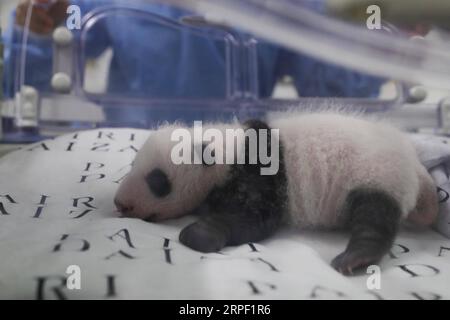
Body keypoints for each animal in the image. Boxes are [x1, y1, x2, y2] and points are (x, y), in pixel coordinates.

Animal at [114, 110, 438, 276]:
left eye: (157, 181)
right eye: (132, 165)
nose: (121, 204)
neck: (227, 146)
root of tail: (413, 161)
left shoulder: (262, 172)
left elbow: (255, 218)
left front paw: (199, 234)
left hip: (376, 174)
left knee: (374, 217)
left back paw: (356, 256)